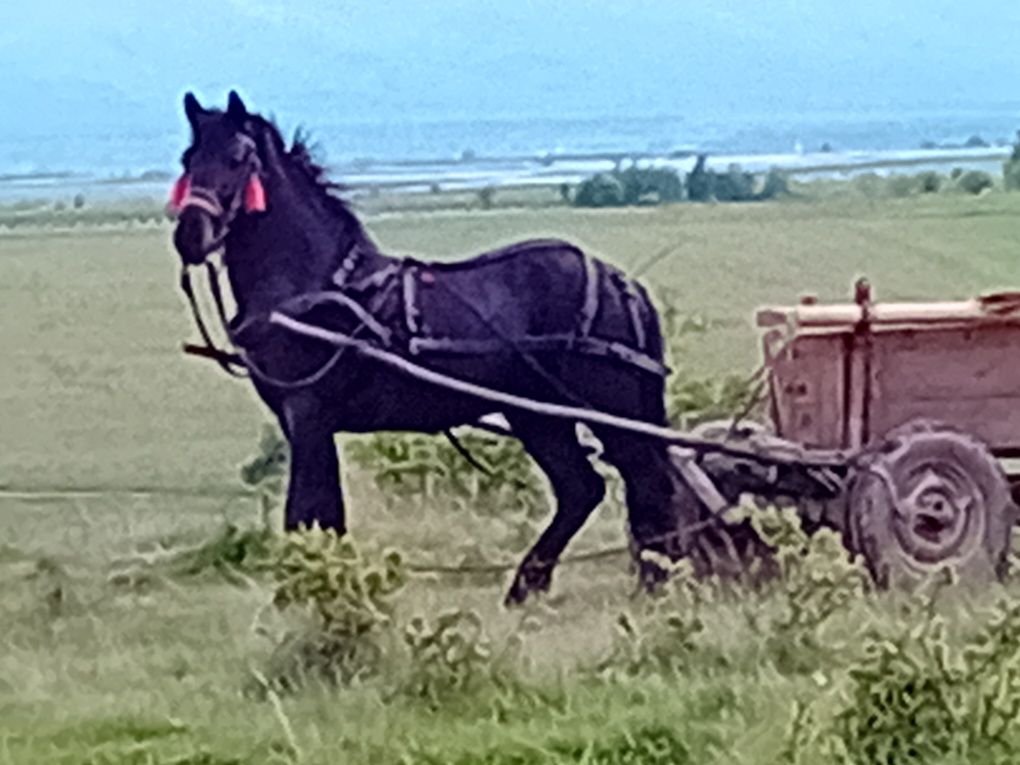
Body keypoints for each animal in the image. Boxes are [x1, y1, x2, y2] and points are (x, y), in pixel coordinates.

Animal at [173, 91, 701, 603]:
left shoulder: (309, 416)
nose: (190, 235)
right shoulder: (302, 421)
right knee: (583, 489)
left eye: (238, 157)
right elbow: (323, 516)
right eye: (188, 159)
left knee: (645, 480)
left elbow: (308, 513)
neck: (318, 285)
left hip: (606, 407)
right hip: (537, 414)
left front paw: (308, 594)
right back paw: (530, 586)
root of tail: (620, 282)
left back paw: (653, 581)